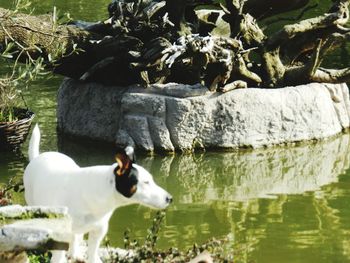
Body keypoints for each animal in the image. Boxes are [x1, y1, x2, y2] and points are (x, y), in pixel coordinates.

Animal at [23, 125, 172, 262]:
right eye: (146, 182)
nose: (170, 198)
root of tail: (38, 156)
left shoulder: (99, 230)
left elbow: (92, 254)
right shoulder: (61, 234)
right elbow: (58, 256)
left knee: (76, 237)